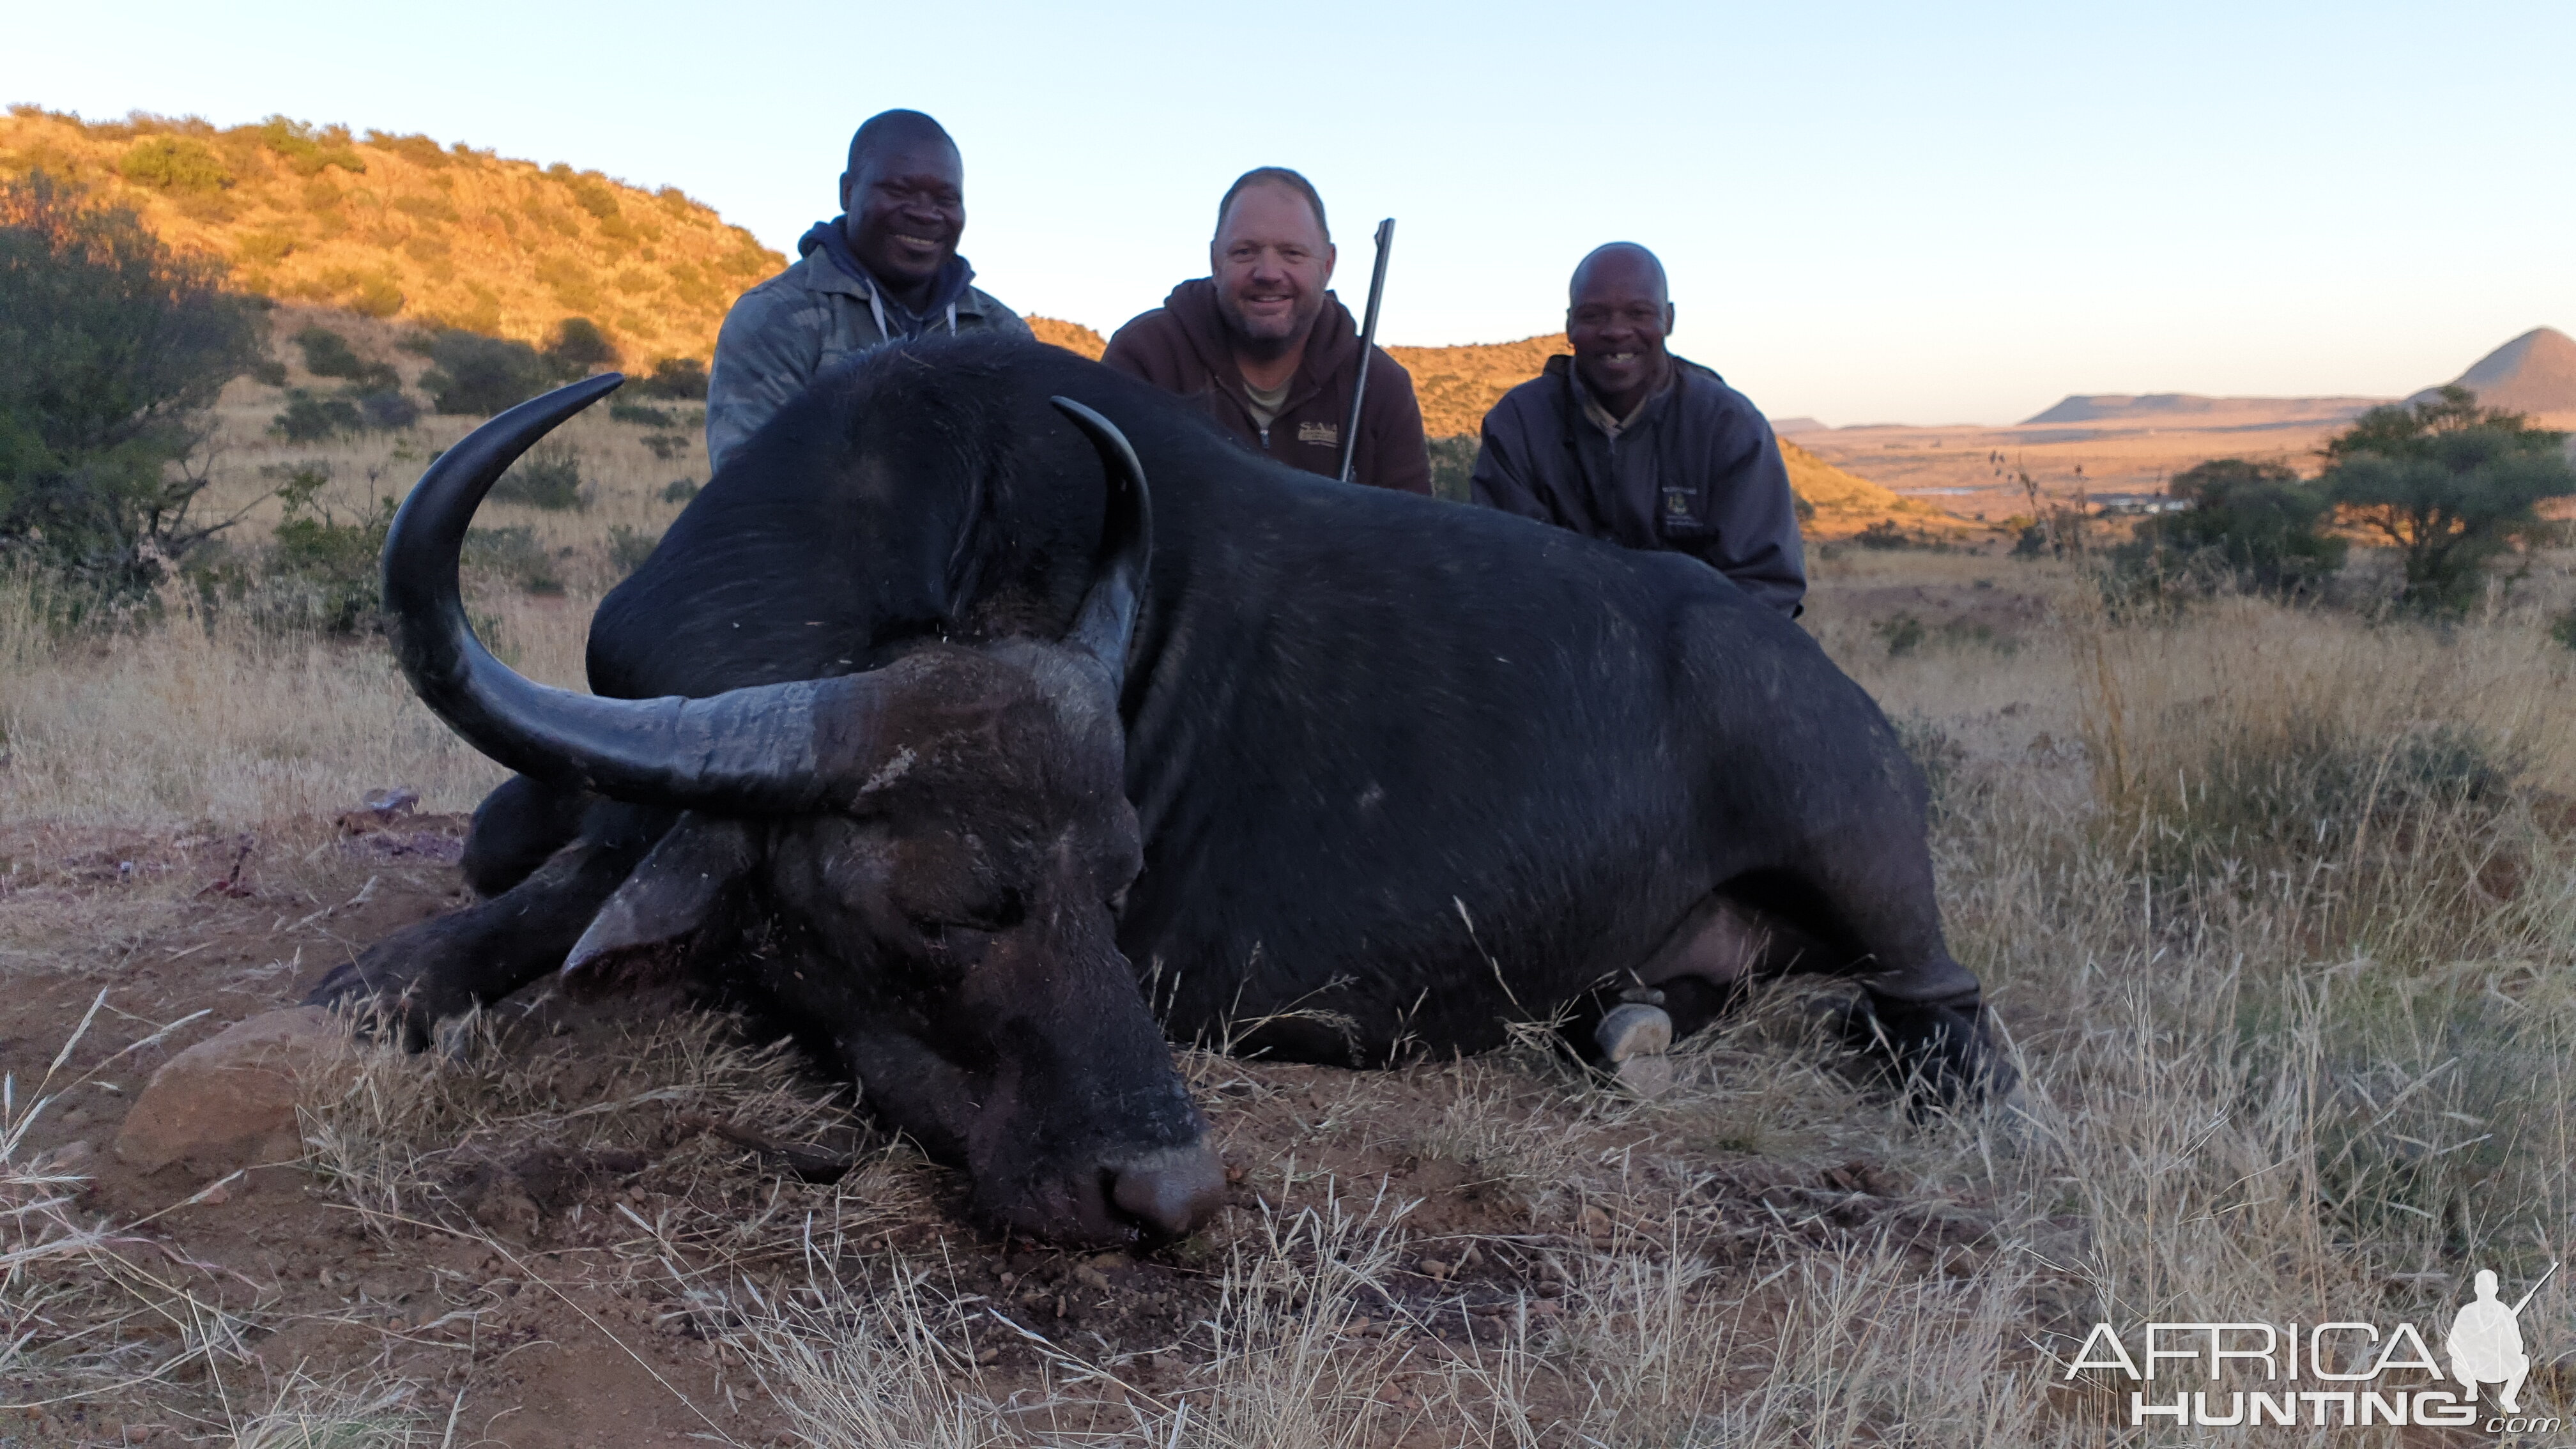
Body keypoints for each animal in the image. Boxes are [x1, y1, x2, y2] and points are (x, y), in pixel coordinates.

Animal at [322, 335, 1998, 1243]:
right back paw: (1628, 1023)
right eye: (951, 911)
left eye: (1117, 891)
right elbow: (511, 868)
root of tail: (1822, 685)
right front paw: (397, 975)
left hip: (1873, 886)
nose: (1171, 1195)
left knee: (1942, 1009)